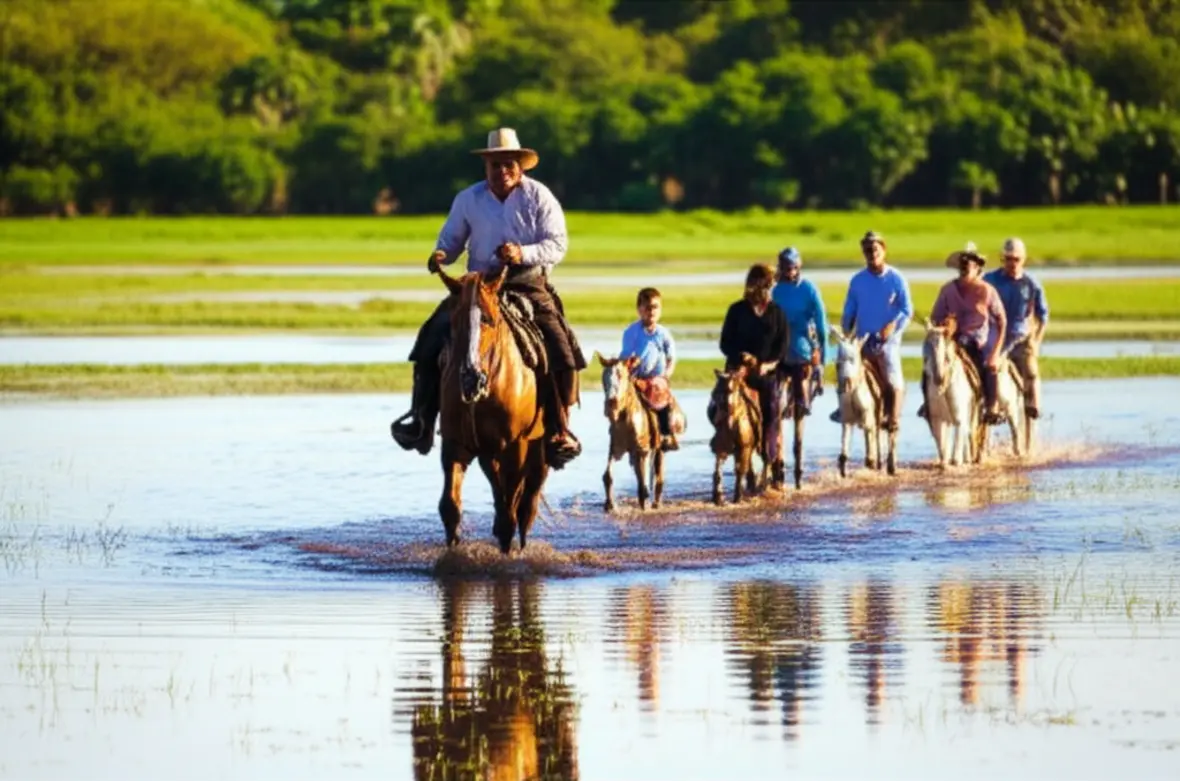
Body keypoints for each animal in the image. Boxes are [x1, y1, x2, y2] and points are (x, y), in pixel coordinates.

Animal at [436, 266, 548, 554]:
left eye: (489, 319)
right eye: (455, 322)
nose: (471, 380)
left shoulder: (516, 447)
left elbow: (512, 512)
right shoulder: (455, 443)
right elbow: (450, 508)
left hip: (537, 448)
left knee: (527, 503)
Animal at [595, 352, 684, 513]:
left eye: (621, 375)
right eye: (604, 378)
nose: (610, 407)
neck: (626, 420)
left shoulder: (642, 451)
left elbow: (643, 486)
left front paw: (644, 506)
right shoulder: (616, 450)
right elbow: (607, 475)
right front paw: (610, 504)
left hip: (659, 450)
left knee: (658, 478)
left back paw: (656, 504)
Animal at [708, 358, 768, 505]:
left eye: (730, 390)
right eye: (714, 393)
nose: (719, 418)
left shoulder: (744, 448)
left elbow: (740, 470)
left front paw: (737, 497)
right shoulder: (722, 449)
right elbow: (717, 470)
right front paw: (718, 496)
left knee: (766, 461)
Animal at [829, 325, 896, 477]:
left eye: (854, 359)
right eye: (838, 362)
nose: (846, 385)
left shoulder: (868, 418)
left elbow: (871, 439)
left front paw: (872, 462)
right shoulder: (847, 421)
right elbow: (844, 452)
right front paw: (843, 471)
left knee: (885, 437)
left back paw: (889, 466)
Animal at [921, 318, 979, 468]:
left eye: (946, 356)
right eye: (926, 354)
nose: (939, 379)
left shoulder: (959, 417)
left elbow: (958, 441)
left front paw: (957, 461)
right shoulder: (937, 419)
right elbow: (942, 447)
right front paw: (944, 463)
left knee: (968, 433)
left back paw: (968, 459)